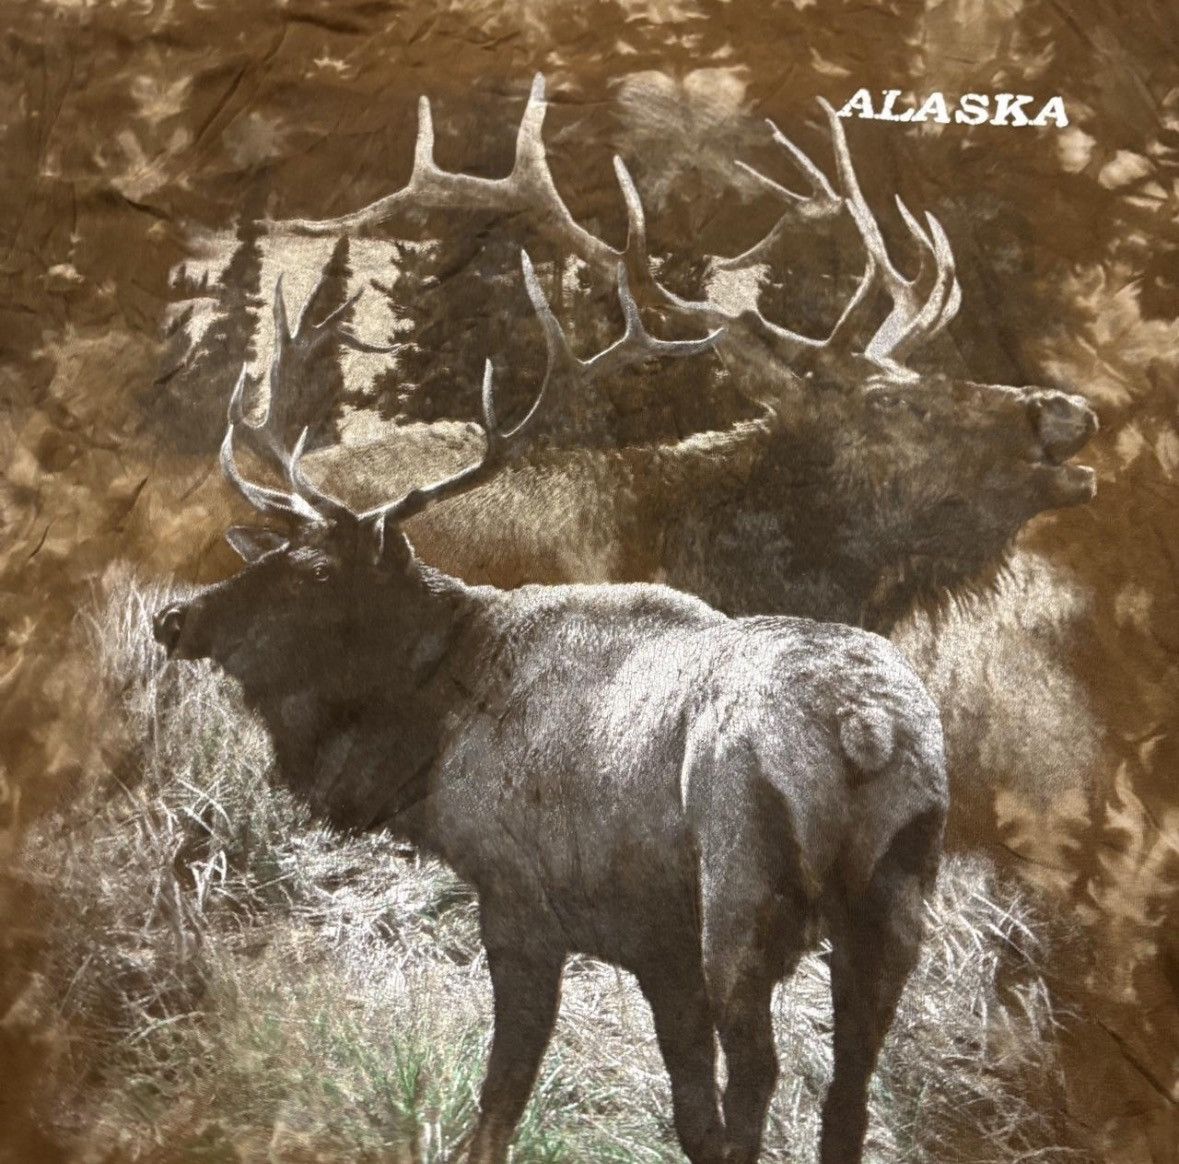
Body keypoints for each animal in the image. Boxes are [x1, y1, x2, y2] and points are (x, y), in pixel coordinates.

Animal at [152, 310, 949, 1164]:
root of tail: (863, 728)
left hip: (740, 896)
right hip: (892, 903)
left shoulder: (518, 897)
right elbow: (689, 1114)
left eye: (320, 575)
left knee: (761, 1073)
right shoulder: (657, 949)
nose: (174, 619)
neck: (432, 735)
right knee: (848, 1090)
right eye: (273, 554)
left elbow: (504, 1093)